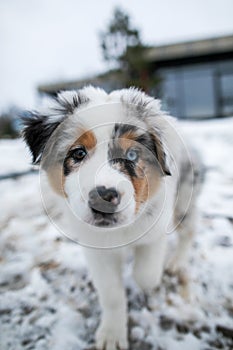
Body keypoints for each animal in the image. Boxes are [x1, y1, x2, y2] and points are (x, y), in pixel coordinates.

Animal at [22, 86, 203, 348]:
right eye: (78, 153)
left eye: (132, 155)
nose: (103, 198)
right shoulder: (97, 249)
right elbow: (111, 293)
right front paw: (111, 335)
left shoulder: (155, 229)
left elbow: (145, 274)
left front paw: (146, 278)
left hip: (185, 198)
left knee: (188, 231)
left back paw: (176, 262)